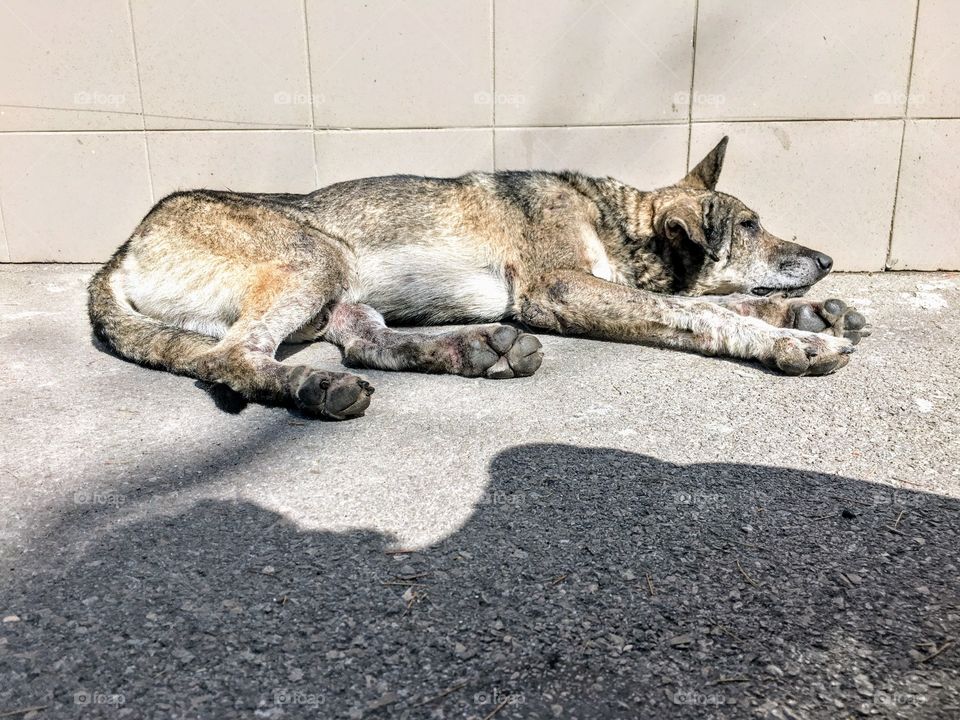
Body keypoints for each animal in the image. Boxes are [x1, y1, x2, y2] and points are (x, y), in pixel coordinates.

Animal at [90, 138, 872, 420]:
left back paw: (475, 350)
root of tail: (122, 249)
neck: (618, 220)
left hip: (342, 297)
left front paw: (815, 314)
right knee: (232, 356)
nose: (829, 260)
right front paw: (798, 343)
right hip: (318, 258)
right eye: (750, 226)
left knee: (366, 343)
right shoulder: (560, 289)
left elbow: (730, 301)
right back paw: (310, 386)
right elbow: (707, 313)